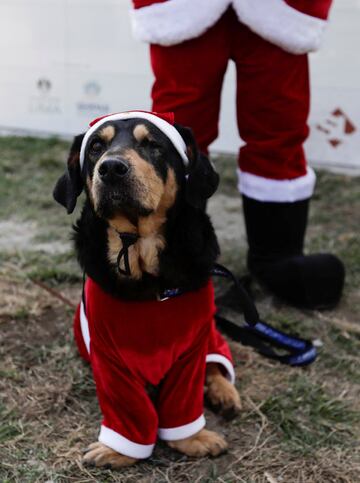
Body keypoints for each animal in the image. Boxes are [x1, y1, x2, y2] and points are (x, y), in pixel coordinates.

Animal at [53, 110, 240, 468]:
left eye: (153, 145)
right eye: (96, 147)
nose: (111, 168)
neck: (139, 248)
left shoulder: (191, 348)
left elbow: (185, 399)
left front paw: (192, 438)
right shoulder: (108, 355)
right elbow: (128, 406)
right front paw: (118, 449)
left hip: (211, 334)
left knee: (216, 364)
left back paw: (224, 392)